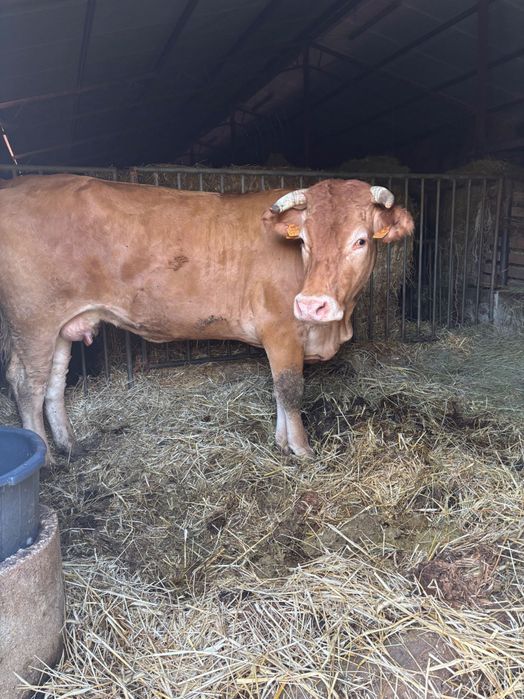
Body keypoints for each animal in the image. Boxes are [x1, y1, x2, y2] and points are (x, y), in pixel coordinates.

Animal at [0, 175, 414, 464]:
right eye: (304, 241)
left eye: (361, 240)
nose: (312, 305)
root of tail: (17, 184)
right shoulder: (280, 330)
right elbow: (290, 390)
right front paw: (302, 450)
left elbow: (279, 392)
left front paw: (282, 443)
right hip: (33, 320)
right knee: (27, 384)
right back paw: (46, 460)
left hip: (62, 325)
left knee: (54, 384)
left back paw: (70, 446)